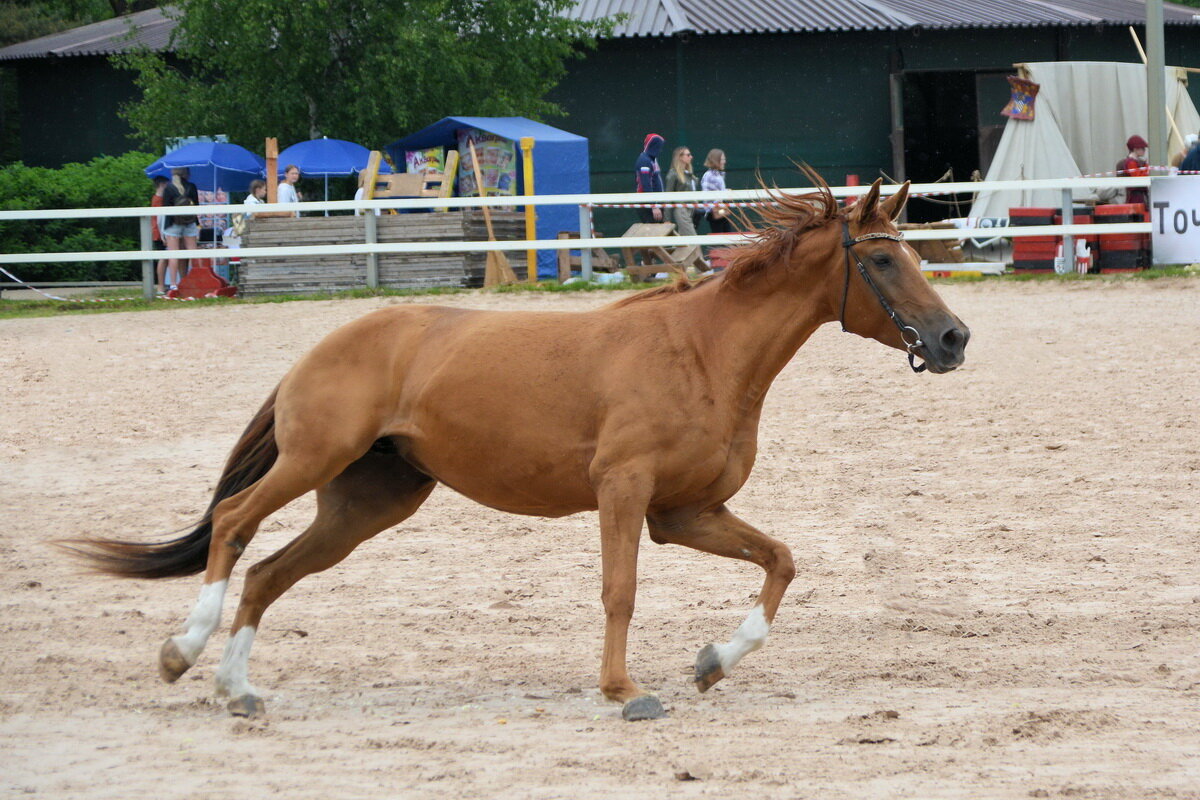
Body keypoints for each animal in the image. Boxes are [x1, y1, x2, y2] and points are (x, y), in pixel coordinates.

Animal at [70, 173, 969, 719]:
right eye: (883, 258)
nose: (954, 338)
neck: (705, 352)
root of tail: (322, 347)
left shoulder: (683, 513)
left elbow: (780, 561)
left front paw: (714, 659)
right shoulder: (625, 493)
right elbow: (620, 593)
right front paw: (625, 689)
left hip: (367, 503)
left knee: (266, 573)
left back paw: (237, 687)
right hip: (311, 463)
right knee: (232, 526)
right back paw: (182, 651)